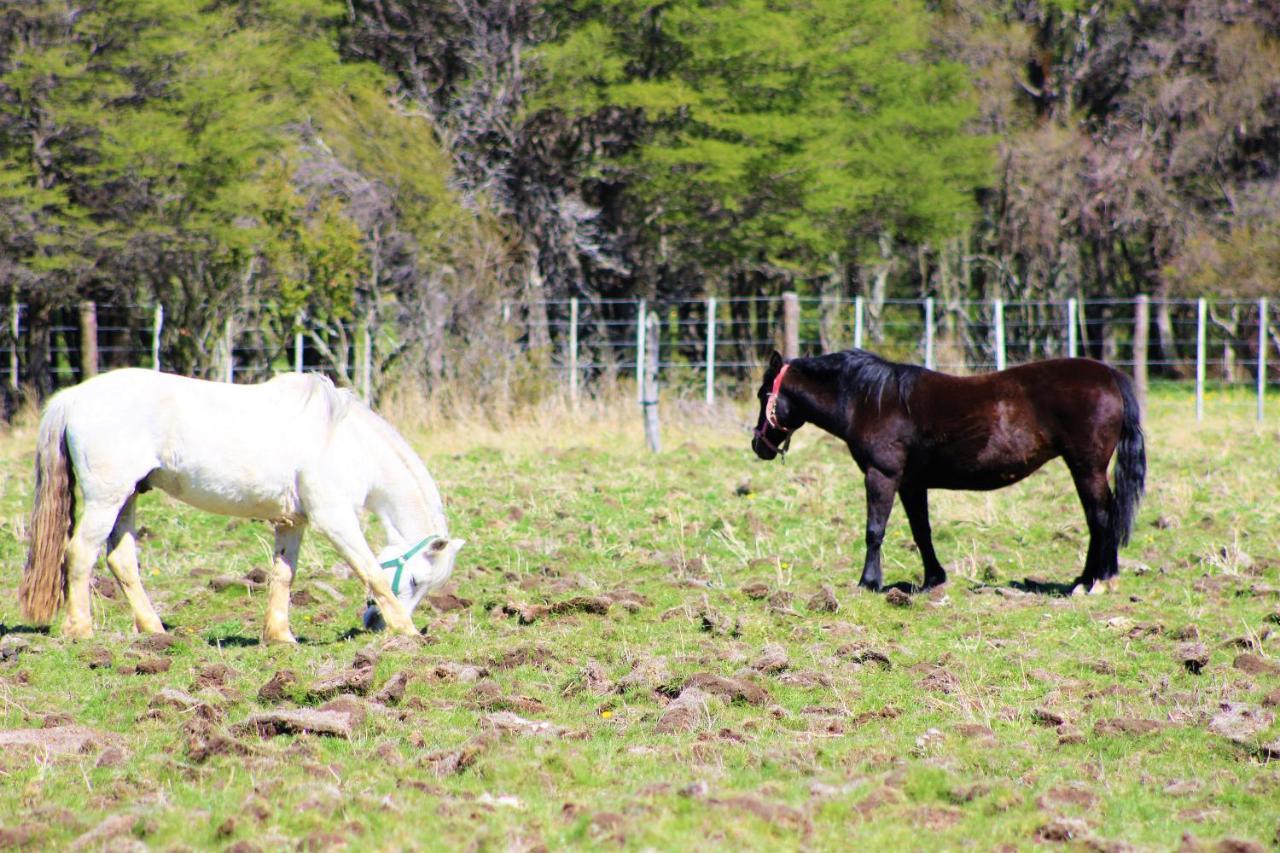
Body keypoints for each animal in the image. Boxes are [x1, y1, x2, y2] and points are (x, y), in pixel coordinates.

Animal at [20, 368, 463, 640]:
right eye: (416, 580)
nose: (375, 625)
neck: (341, 439)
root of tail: (73, 397)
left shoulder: (293, 522)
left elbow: (283, 576)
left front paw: (280, 636)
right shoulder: (334, 520)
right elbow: (371, 572)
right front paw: (408, 631)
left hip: (127, 498)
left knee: (121, 561)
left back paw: (154, 631)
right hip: (106, 498)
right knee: (80, 553)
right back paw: (80, 629)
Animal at [747, 348, 1152, 594]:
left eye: (763, 394)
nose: (758, 445)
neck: (870, 401)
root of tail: (1109, 375)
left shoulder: (882, 475)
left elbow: (874, 531)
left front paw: (868, 582)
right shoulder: (911, 484)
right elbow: (921, 531)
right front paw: (933, 580)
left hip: (1087, 466)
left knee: (1101, 516)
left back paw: (1097, 581)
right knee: (1100, 516)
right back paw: (1087, 578)